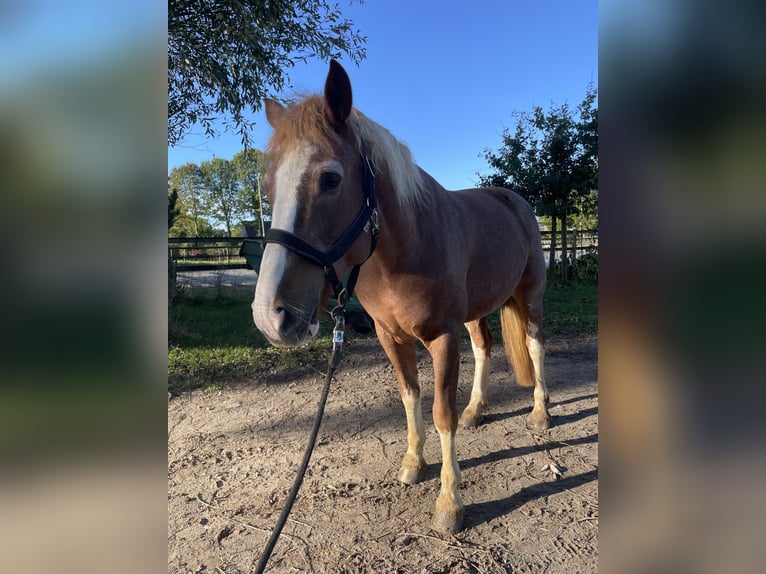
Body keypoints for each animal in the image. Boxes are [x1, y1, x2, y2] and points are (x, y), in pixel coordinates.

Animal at [252, 60, 550, 534]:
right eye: (267, 185)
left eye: (330, 179)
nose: (270, 316)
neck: (406, 248)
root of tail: (513, 200)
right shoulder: (390, 337)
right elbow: (410, 395)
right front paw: (414, 462)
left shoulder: (443, 338)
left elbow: (442, 413)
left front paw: (449, 502)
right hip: (475, 312)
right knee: (484, 347)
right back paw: (478, 409)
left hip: (530, 295)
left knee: (536, 346)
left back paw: (541, 413)